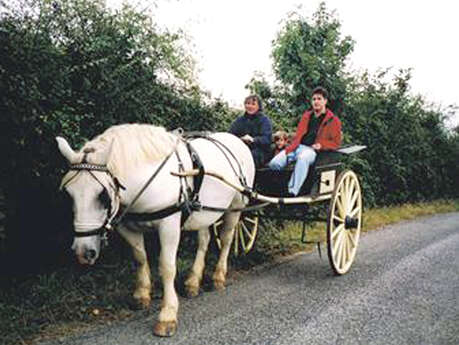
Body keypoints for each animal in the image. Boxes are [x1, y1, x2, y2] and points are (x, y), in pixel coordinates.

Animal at [56, 123, 256, 336]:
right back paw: (193, 282)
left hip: (236, 207)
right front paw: (142, 295)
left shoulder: (169, 225)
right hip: (205, 212)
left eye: (103, 195)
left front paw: (167, 315)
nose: (83, 252)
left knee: (226, 239)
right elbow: (140, 258)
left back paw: (218, 276)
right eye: (68, 194)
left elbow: (167, 267)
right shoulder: (128, 227)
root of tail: (237, 139)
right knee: (204, 240)